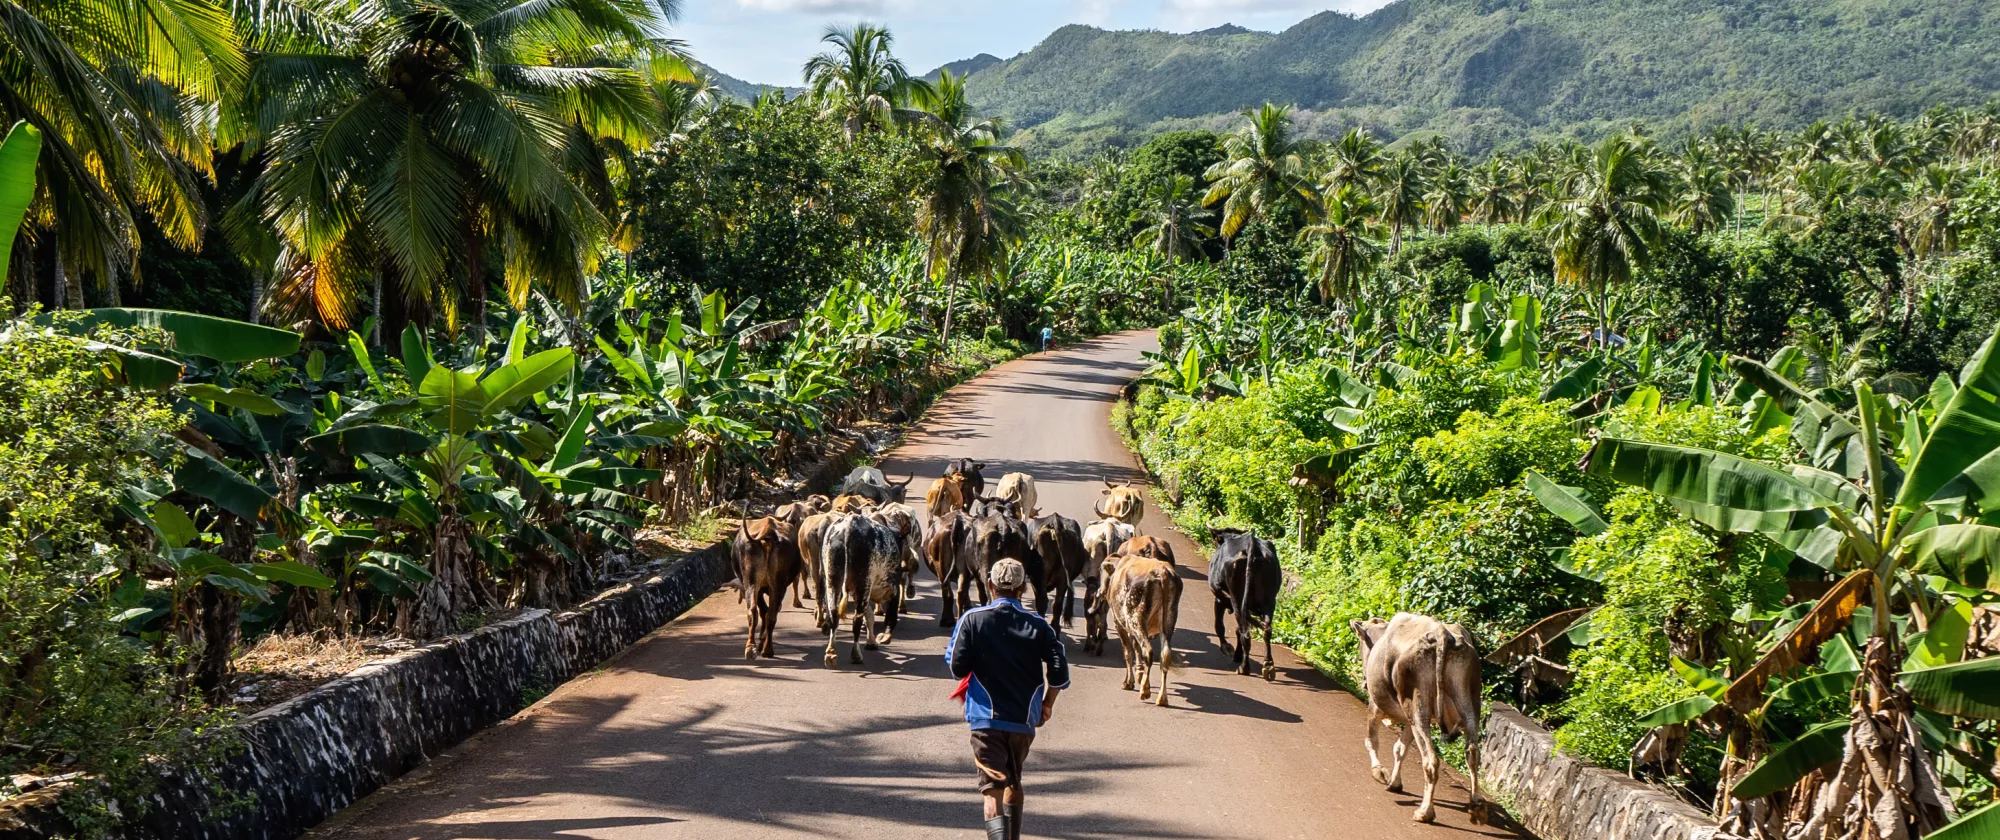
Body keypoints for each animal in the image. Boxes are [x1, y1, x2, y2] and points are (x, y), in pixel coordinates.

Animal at [732, 516, 800, 660]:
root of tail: (767, 532)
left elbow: (763, 610)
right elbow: (765, 611)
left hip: (754, 584)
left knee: (759, 612)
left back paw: (758, 649)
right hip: (770, 586)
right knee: (766, 614)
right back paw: (760, 649)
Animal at [1104, 552, 1176, 708]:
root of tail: (1161, 569)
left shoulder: (1119, 623)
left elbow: (1128, 652)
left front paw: (1129, 682)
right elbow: (1135, 647)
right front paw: (1138, 673)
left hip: (1135, 618)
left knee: (1148, 651)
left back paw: (1145, 690)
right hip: (1168, 620)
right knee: (1165, 654)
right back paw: (1162, 698)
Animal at [1200, 528, 1280, 680]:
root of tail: (1252, 545)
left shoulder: (1220, 598)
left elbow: (1219, 626)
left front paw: (1227, 648)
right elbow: (1237, 629)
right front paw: (1237, 653)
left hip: (1237, 599)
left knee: (1246, 634)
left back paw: (1244, 667)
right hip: (1268, 601)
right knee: (1266, 629)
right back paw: (1268, 665)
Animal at [1352, 612, 1496, 824]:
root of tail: (1442, 633)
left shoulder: (1376, 705)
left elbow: (1372, 741)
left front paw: (1379, 772)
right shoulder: (1409, 721)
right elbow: (1400, 748)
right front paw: (1394, 782)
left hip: (1417, 706)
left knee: (1430, 760)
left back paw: (1425, 811)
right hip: (1469, 702)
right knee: (1472, 752)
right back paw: (1477, 803)